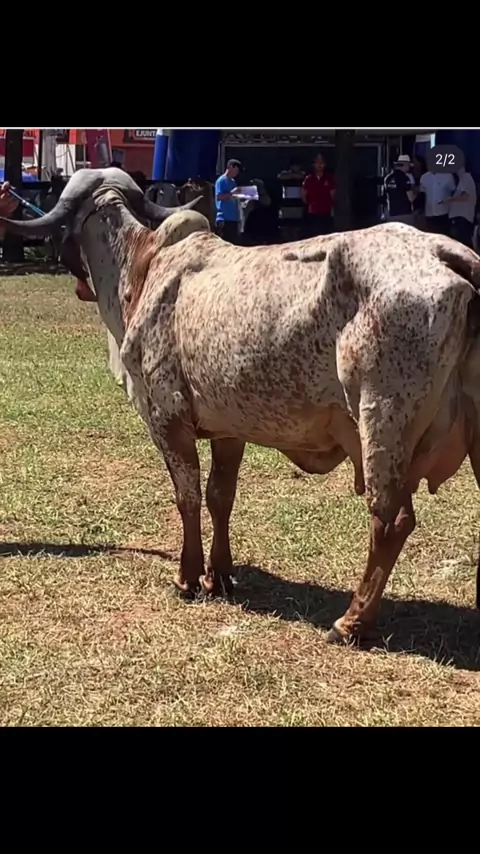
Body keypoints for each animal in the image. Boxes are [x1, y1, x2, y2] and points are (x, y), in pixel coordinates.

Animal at [3, 166, 480, 647]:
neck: (143, 267)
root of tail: (445, 252)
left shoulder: (166, 416)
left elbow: (188, 496)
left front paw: (188, 577)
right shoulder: (228, 429)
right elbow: (220, 496)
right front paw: (220, 574)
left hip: (382, 417)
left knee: (390, 520)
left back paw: (351, 621)